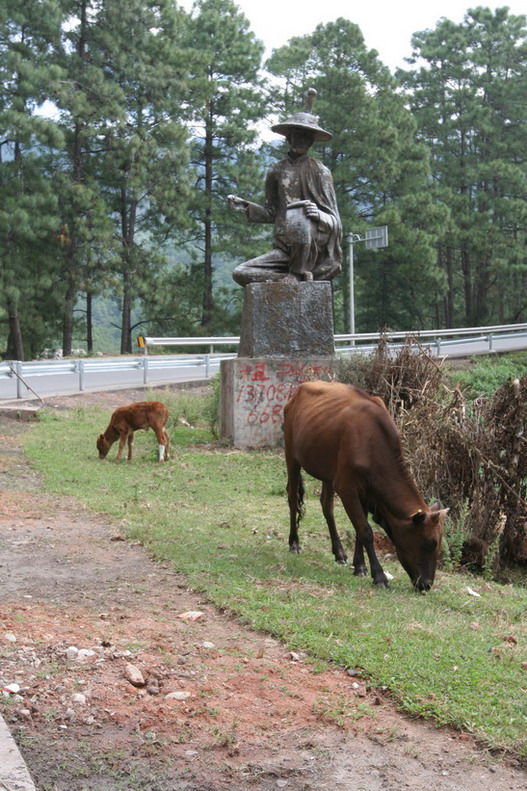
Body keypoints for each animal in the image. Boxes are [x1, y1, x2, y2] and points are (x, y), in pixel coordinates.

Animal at [284, 380, 450, 592]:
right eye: (429, 542)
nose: (427, 584)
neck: (372, 444)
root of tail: (300, 390)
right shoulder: (347, 488)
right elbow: (365, 530)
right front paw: (379, 576)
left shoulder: (365, 492)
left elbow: (358, 529)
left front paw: (360, 566)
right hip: (292, 455)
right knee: (292, 498)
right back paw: (294, 543)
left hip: (328, 472)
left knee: (326, 505)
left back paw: (339, 552)